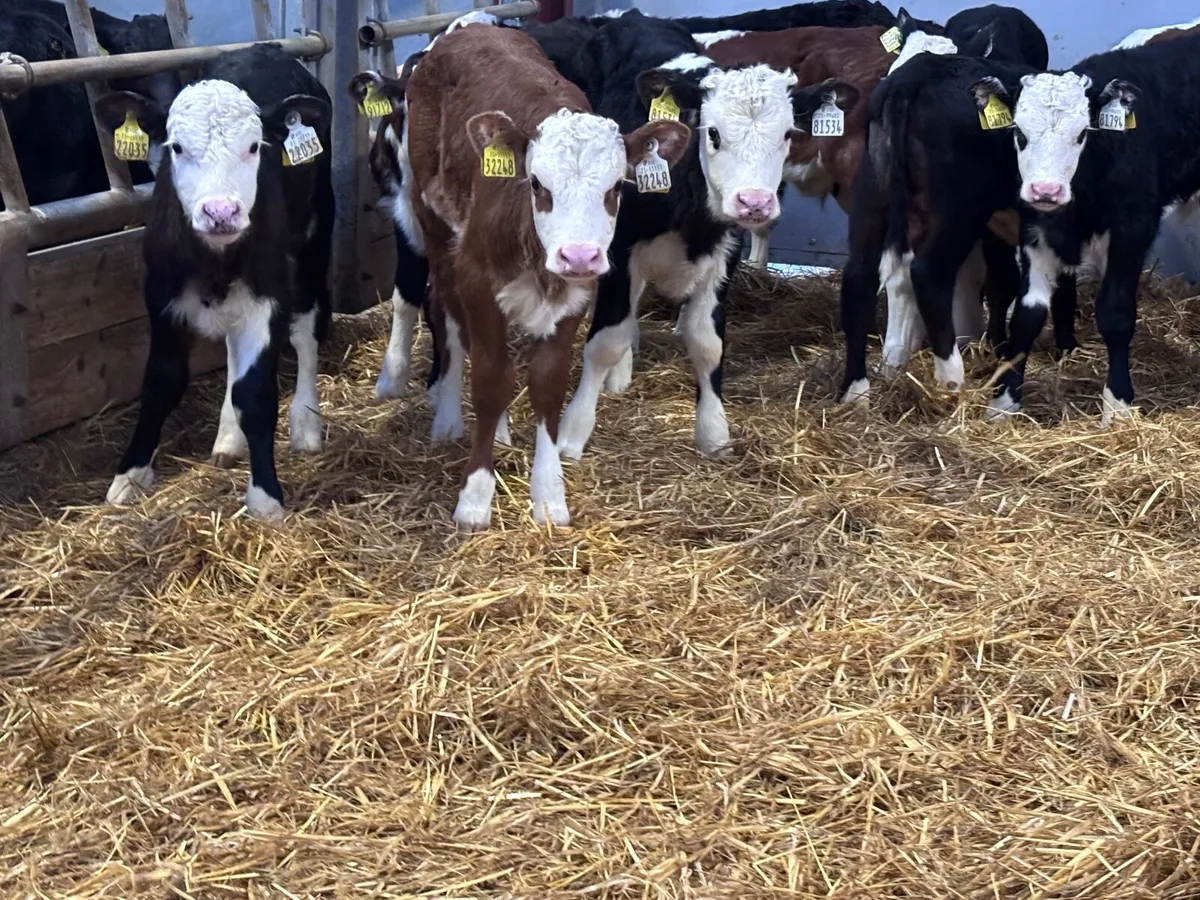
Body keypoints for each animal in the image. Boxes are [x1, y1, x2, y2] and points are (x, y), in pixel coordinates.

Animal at [95, 44, 335, 519]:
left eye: (254, 146)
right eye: (176, 147)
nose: (221, 212)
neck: (214, 262)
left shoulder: (268, 297)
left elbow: (256, 395)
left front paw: (264, 496)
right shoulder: (160, 295)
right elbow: (161, 383)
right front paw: (129, 474)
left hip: (316, 236)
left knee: (305, 332)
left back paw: (305, 422)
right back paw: (227, 436)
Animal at [402, 22, 690, 530]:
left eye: (616, 188)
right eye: (537, 183)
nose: (578, 255)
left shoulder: (577, 294)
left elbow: (546, 385)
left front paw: (549, 493)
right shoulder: (477, 279)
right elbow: (491, 381)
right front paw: (475, 496)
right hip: (434, 224)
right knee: (449, 318)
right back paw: (450, 420)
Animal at [981, 33, 1200, 423]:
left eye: (1083, 132)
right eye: (1019, 131)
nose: (1046, 190)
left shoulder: (1133, 228)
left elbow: (1115, 313)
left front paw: (1117, 405)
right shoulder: (1036, 230)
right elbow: (1027, 314)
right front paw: (1003, 401)